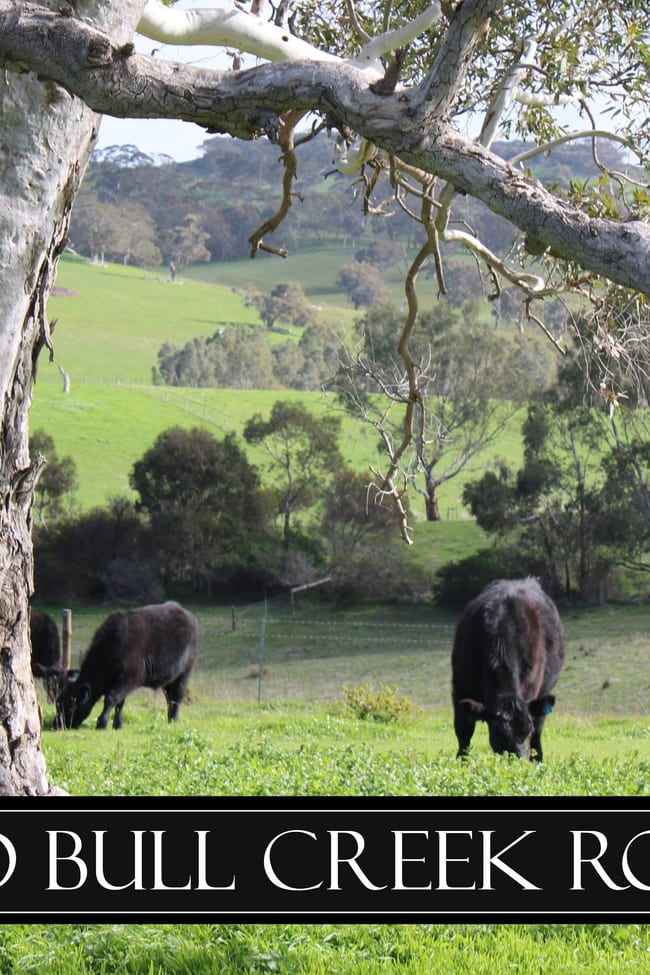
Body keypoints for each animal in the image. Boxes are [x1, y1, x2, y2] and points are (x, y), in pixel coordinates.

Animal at [54, 601, 198, 730]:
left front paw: (102, 723)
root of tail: (187, 614)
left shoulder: (129, 679)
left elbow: (111, 698)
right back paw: (170, 719)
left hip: (184, 674)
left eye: (69, 707)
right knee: (170, 698)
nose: (56, 725)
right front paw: (118, 724)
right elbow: (120, 702)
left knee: (177, 696)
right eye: (57, 703)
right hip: (169, 679)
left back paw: (174, 720)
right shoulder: (121, 683)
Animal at [451, 578, 565, 761]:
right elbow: (463, 731)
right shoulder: (460, 685)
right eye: (498, 735)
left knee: (539, 729)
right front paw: (462, 761)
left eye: (527, 730)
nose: (519, 760)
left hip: (544, 692)